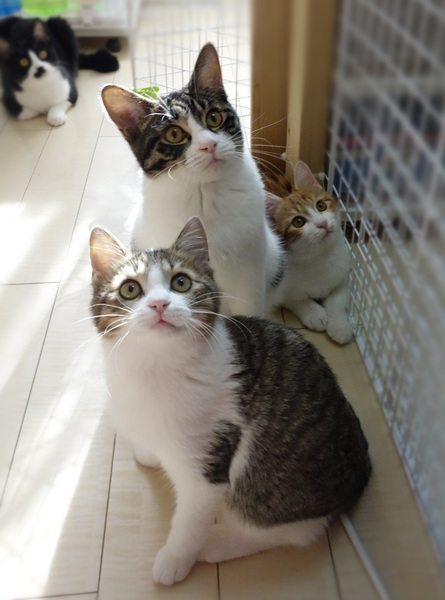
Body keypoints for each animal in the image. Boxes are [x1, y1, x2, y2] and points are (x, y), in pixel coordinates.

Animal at [89, 216, 371, 586]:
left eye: (181, 282)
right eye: (130, 289)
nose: (160, 304)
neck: (154, 368)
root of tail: (361, 472)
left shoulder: (208, 461)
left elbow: (191, 518)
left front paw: (176, 558)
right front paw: (149, 452)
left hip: (271, 481)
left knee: (291, 529)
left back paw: (218, 544)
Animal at [100, 42, 284, 317]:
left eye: (214, 118)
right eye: (174, 134)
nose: (210, 145)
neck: (203, 194)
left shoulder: (250, 267)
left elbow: (249, 308)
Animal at [265, 160, 354, 344]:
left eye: (321, 205)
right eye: (298, 222)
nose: (322, 223)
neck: (319, 258)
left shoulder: (343, 274)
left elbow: (337, 299)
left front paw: (339, 325)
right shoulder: (277, 285)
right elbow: (297, 300)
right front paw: (315, 314)